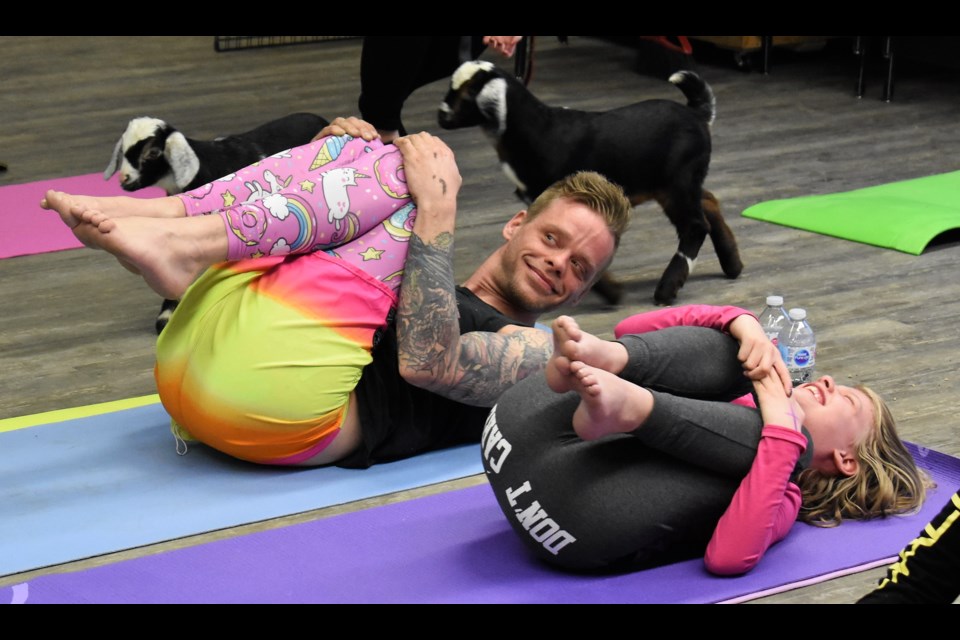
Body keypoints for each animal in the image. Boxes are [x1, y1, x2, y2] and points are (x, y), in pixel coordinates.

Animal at [438, 61, 748, 306]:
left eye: (467, 95)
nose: (441, 115)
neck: (534, 127)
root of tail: (697, 114)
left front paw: (612, 293)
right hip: (679, 181)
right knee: (708, 201)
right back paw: (732, 264)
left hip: (677, 182)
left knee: (695, 225)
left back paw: (667, 289)